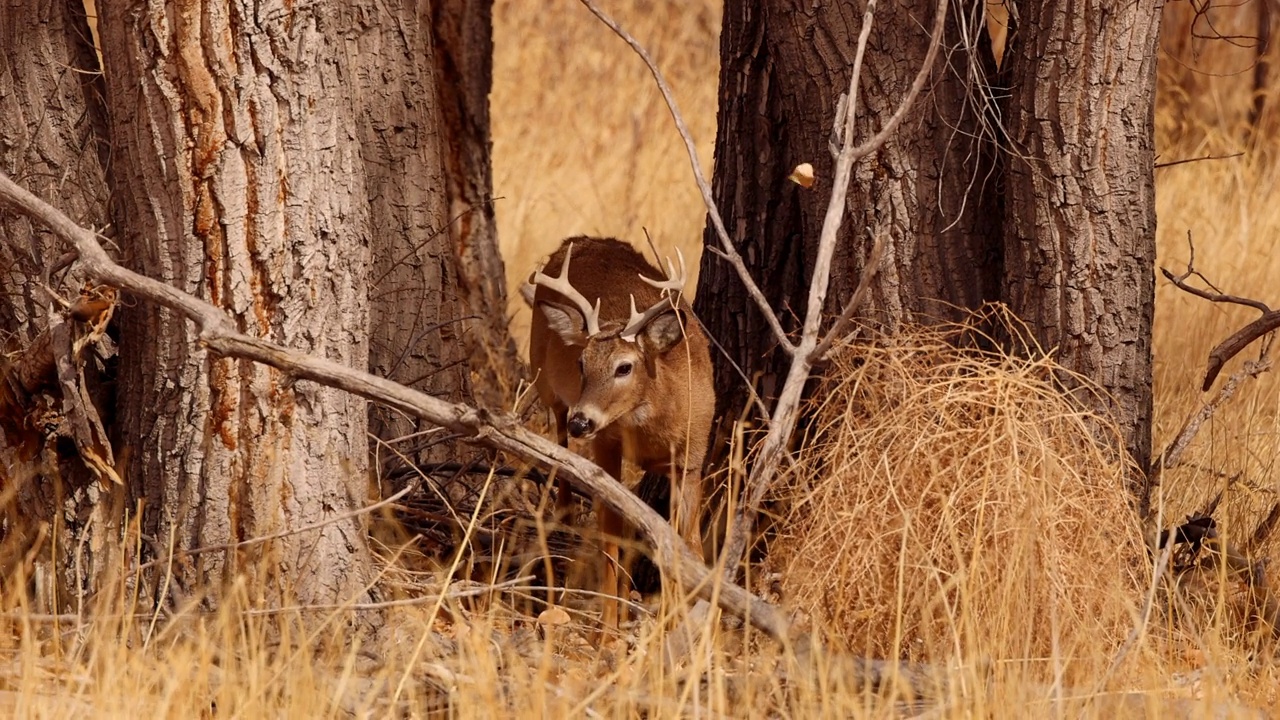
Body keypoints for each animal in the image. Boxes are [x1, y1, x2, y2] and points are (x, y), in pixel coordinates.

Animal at [524, 237, 716, 627]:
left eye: (624, 367)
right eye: (581, 363)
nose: (583, 421)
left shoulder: (692, 458)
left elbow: (684, 543)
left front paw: (680, 618)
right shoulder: (606, 448)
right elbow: (611, 536)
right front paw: (609, 627)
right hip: (544, 378)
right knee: (559, 437)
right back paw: (565, 512)